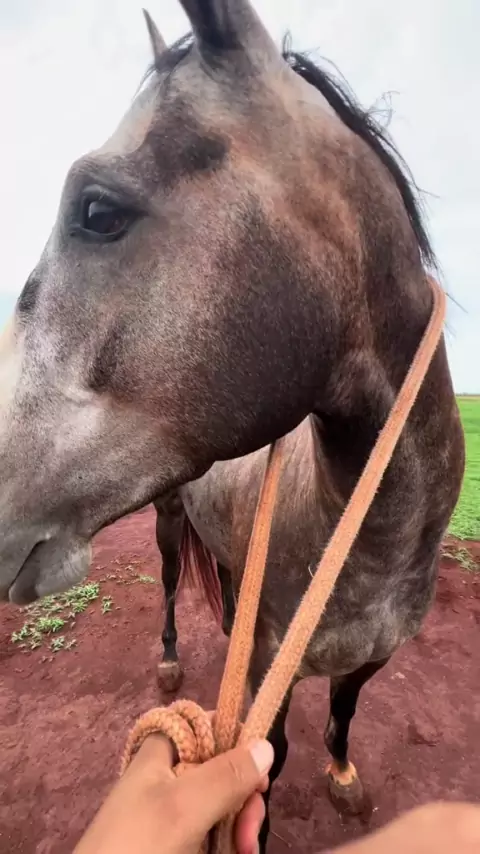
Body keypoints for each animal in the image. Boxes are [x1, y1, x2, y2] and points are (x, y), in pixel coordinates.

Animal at [0, 2, 465, 850]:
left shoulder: (369, 661)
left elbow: (344, 712)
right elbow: (267, 762)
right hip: (165, 523)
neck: (364, 542)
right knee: (171, 590)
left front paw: (344, 776)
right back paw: (173, 660)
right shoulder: (271, 671)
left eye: (97, 211)